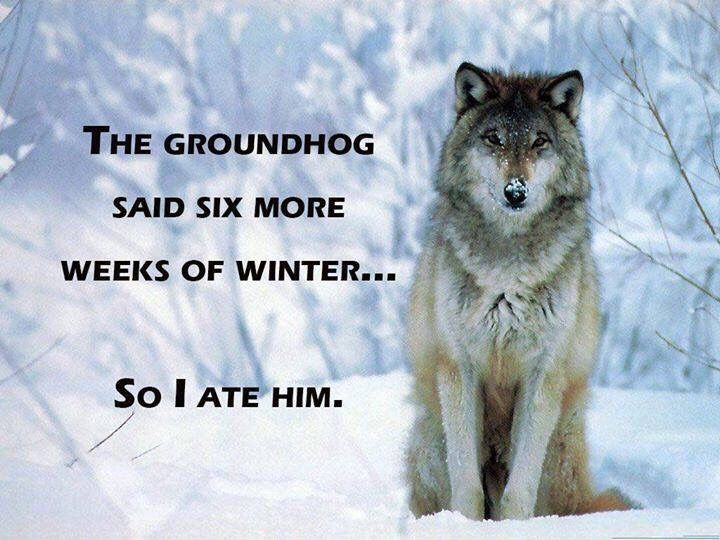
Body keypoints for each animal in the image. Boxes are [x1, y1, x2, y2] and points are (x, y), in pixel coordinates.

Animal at [404, 63, 631, 521]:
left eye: (539, 141)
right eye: (494, 138)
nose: (515, 191)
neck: (507, 270)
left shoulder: (542, 373)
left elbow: (519, 491)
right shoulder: (459, 367)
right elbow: (467, 486)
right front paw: (463, 526)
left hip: (558, 448)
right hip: (432, 435)